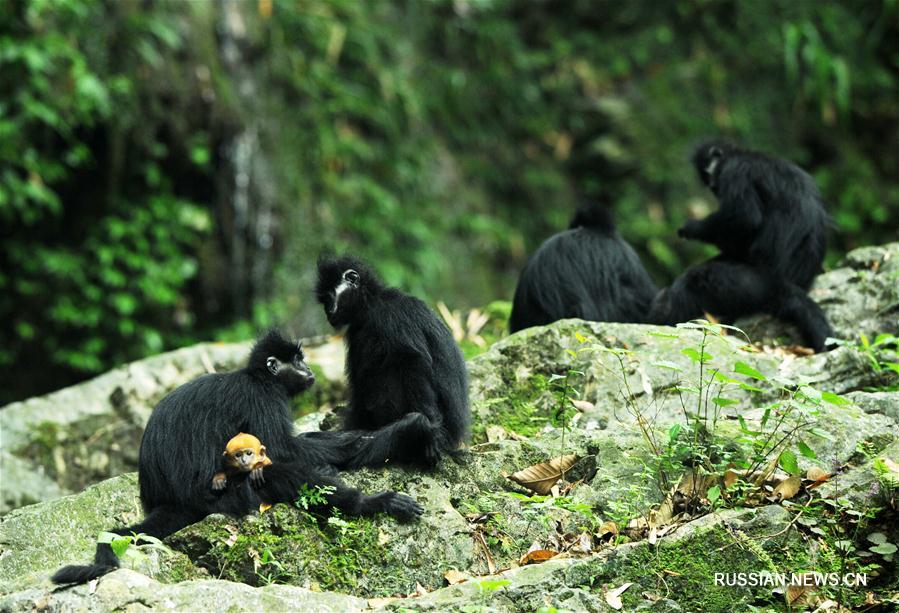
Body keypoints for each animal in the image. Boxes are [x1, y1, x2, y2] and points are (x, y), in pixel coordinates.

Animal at [51, 330, 424, 584]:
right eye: (298, 360)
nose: (309, 370)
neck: (256, 377)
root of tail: (171, 500)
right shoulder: (263, 396)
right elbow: (283, 450)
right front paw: (388, 437)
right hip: (220, 498)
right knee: (281, 475)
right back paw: (374, 502)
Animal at [316, 253, 472, 468]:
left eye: (330, 297)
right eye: (324, 300)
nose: (327, 310)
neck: (371, 304)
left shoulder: (390, 316)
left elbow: (413, 361)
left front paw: (427, 431)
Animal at [652, 139, 832, 350]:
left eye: (709, 175)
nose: (712, 186)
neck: (744, 154)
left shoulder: (735, 172)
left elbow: (745, 219)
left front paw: (692, 228)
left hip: (749, 284)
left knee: (694, 281)